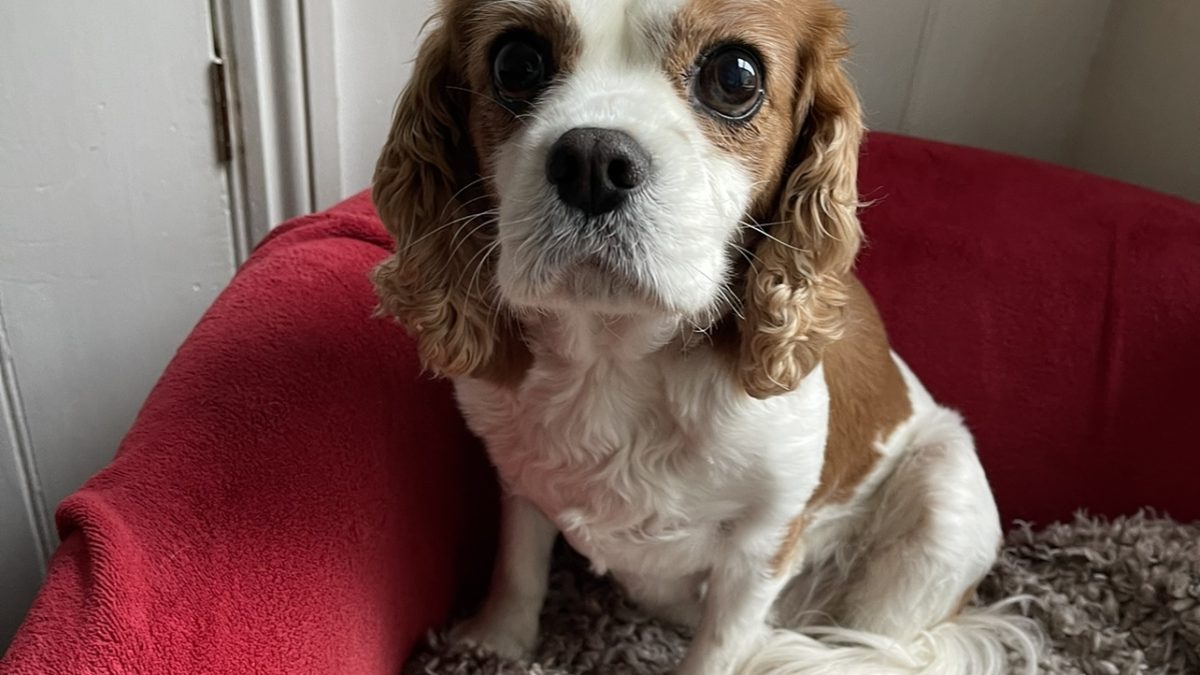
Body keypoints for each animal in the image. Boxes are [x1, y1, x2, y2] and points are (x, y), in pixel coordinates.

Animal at [374, 2, 1041, 667]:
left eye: (735, 77)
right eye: (515, 63)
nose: (593, 162)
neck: (614, 356)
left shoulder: (762, 548)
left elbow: (719, 648)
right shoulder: (519, 480)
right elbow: (519, 567)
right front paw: (496, 645)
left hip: (943, 499)